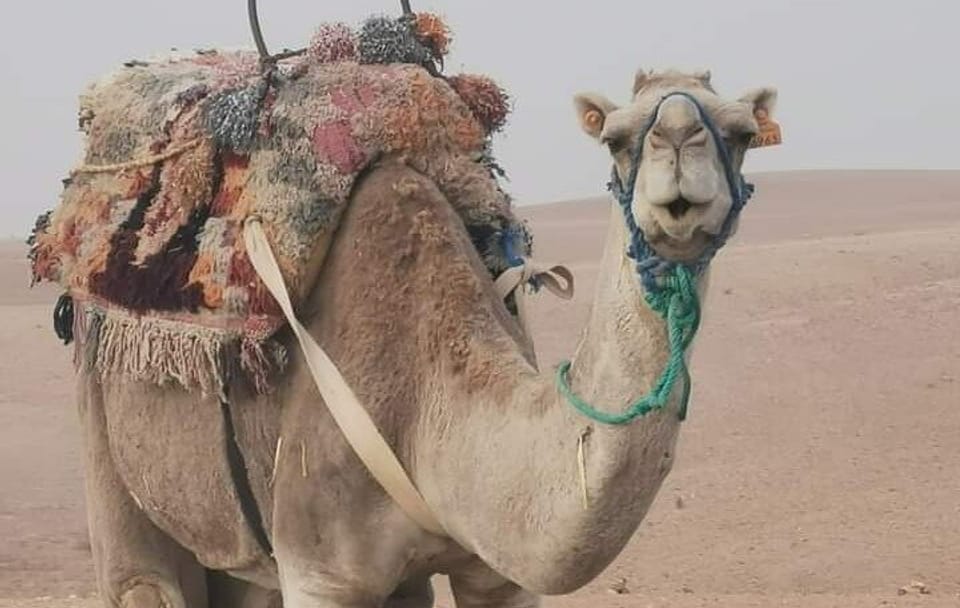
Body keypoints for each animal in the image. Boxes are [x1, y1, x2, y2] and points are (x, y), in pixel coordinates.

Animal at [74, 66, 778, 608]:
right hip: (109, 448)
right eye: (615, 138)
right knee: (144, 579)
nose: (680, 138)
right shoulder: (320, 572)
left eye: (743, 134)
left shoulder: (497, 574)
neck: (427, 402)